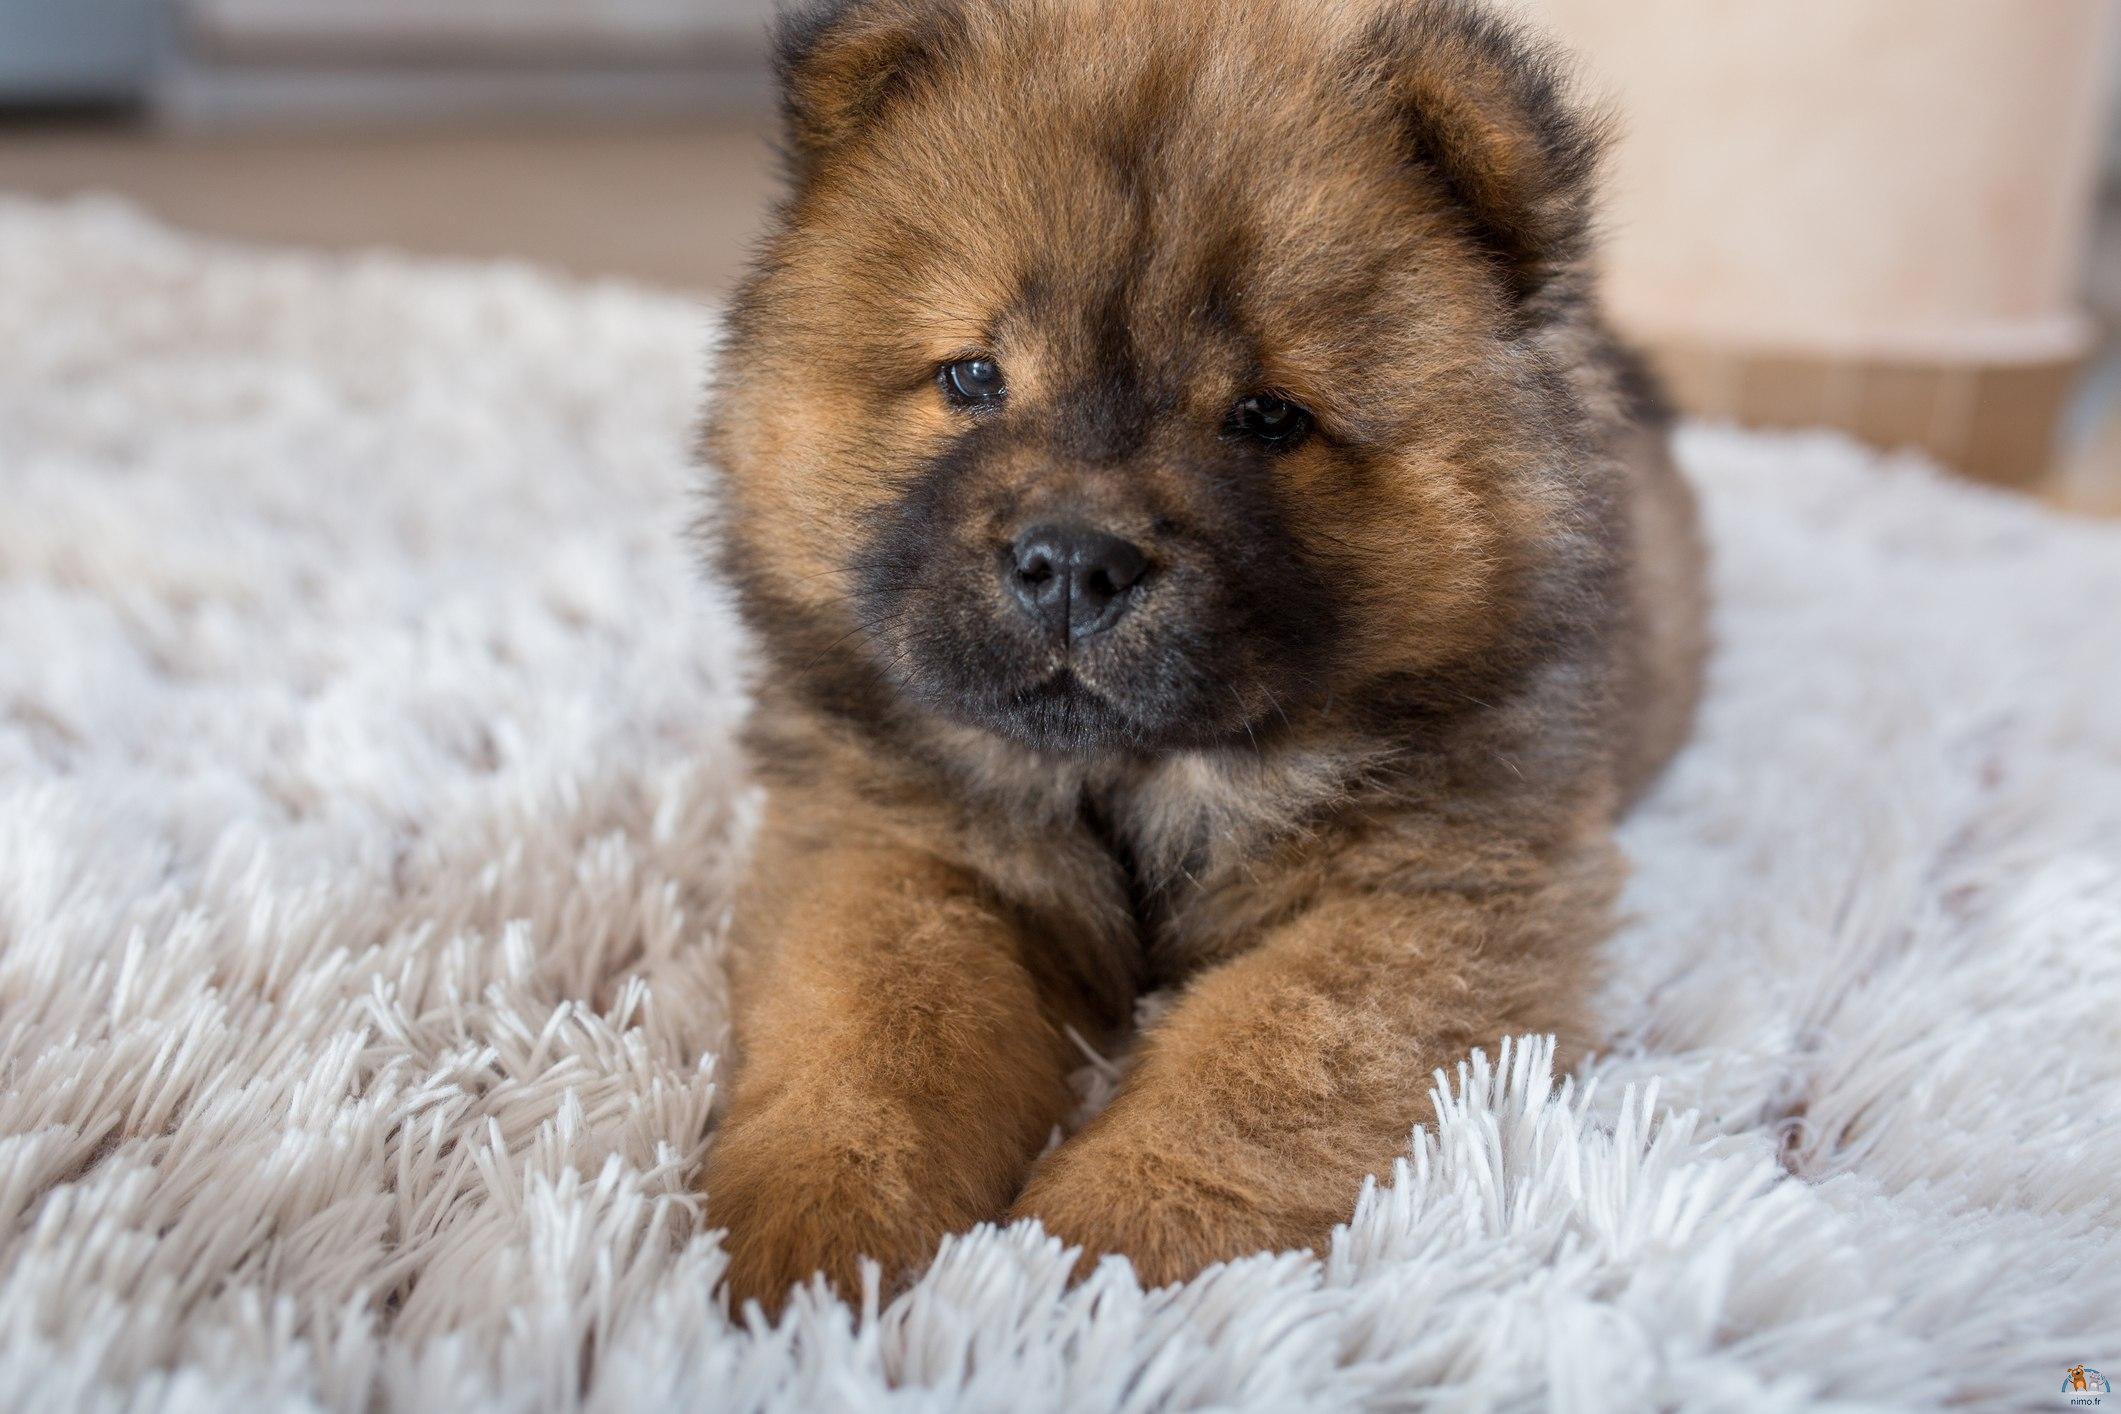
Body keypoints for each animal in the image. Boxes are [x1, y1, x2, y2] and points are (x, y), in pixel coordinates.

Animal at [697, 0, 1706, 1311]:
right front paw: (814, 1250)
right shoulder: (886, 837)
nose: (1074, 561)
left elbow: (1260, 1067)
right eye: (972, 376)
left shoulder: (1427, 890)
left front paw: (1089, 1258)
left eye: (1267, 416)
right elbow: (873, 1034)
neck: (1140, 778)